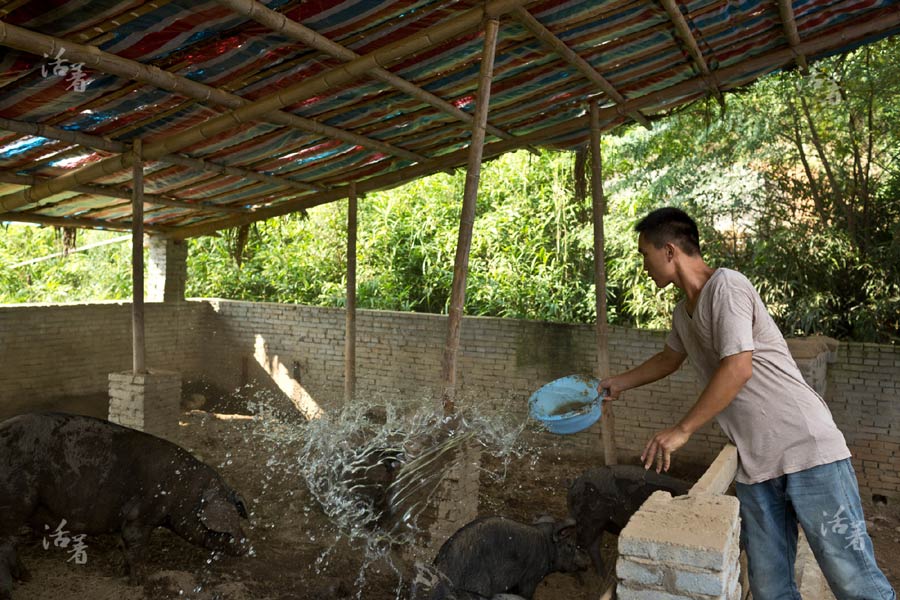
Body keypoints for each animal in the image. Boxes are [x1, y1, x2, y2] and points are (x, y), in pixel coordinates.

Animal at [0, 410, 248, 596]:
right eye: (226, 524)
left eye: (238, 515)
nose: (247, 546)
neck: (181, 492)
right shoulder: (140, 517)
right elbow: (136, 548)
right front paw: (139, 582)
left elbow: (123, 546)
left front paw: (121, 571)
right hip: (14, 503)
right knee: (6, 544)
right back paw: (17, 584)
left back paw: (26, 577)